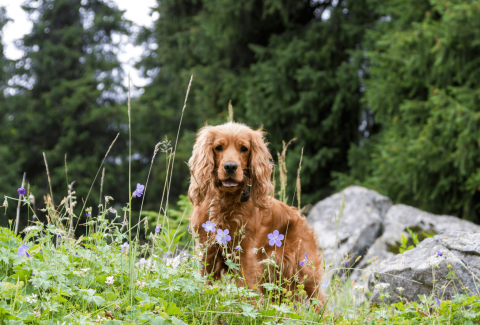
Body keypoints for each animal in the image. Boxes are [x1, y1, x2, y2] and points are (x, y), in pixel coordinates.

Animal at [188, 121, 326, 306]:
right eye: (218, 147)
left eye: (244, 148)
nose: (230, 167)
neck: (226, 201)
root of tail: (302, 219)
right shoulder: (207, 252)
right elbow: (205, 285)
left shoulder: (246, 255)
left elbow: (245, 292)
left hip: (305, 271)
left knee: (320, 301)